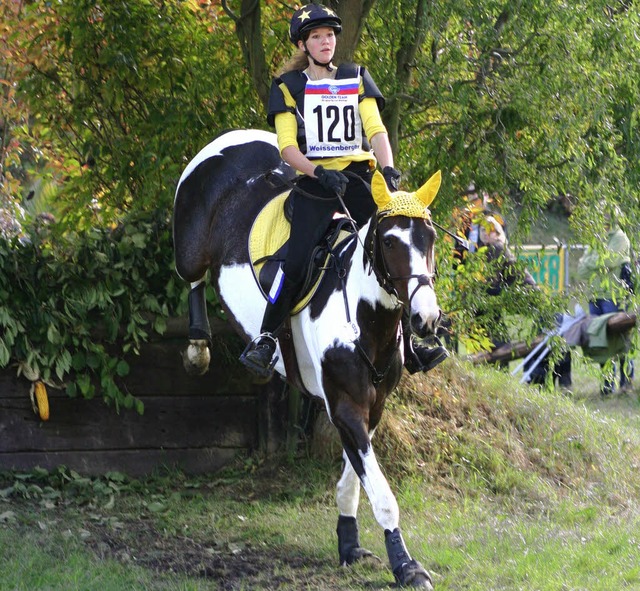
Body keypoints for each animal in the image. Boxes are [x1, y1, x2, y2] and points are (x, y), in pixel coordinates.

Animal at [175, 128, 444, 588]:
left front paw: (349, 544)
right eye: (390, 241)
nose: (425, 319)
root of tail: (232, 138)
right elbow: (382, 494)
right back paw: (198, 346)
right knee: (191, 276)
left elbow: (354, 479)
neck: (363, 316)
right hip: (190, 248)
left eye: (430, 240)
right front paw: (406, 565)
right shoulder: (344, 406)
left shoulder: (372, 406)